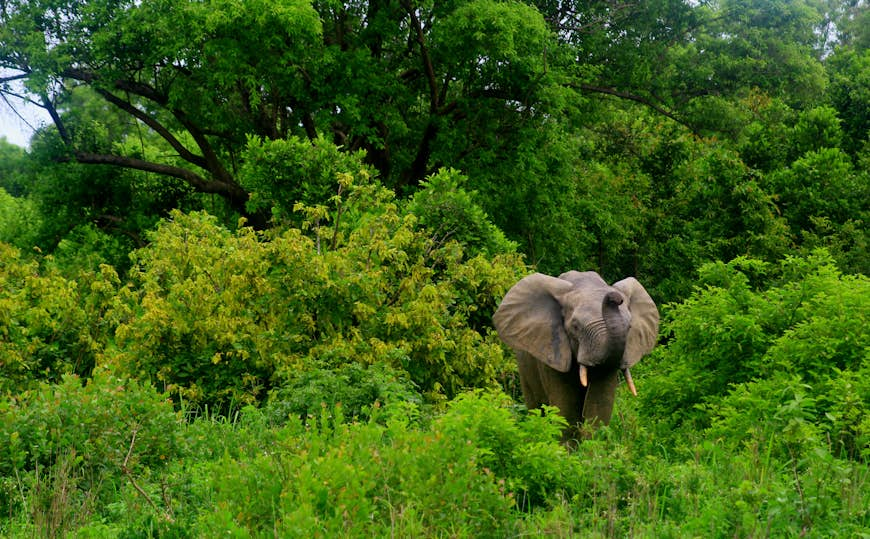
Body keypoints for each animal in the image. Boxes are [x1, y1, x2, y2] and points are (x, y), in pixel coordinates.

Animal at [494, 272, 656, 440]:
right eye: (575, 326)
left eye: (629, 326)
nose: (615, 298)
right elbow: (566, 407)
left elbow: (599, 404)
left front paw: (593, 446)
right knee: (536, 406)